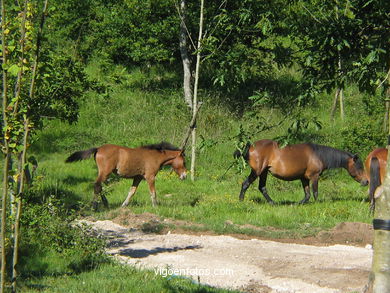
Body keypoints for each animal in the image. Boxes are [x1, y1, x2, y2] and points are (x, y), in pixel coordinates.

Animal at [235, 139, 368, 203]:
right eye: (359, 167)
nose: (366, 181)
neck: (319, 155)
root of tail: (251, 146)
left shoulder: (304, 178)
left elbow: (307, 195)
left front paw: (297, 204)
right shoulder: (314, 176)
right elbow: (315, 193)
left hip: (264, 172)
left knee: (262, 187)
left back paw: (272, 202)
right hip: (257, 171)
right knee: (245, 184)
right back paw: (241, 201)